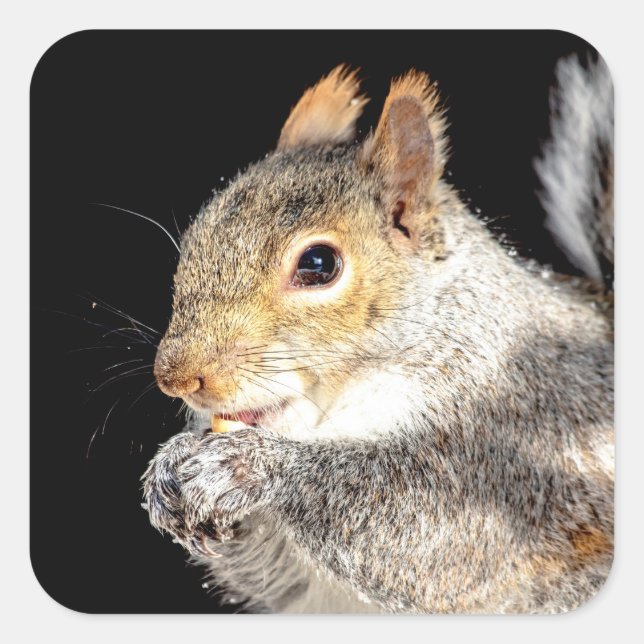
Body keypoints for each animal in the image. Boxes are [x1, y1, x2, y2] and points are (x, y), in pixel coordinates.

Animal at [142, 58, 614, 614]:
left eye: (318, 264)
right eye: (196, 239)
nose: (176, 378)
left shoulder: (513, 446)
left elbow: (434, 531)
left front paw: (245, 467)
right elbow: (273, 573)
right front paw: (169, 470)